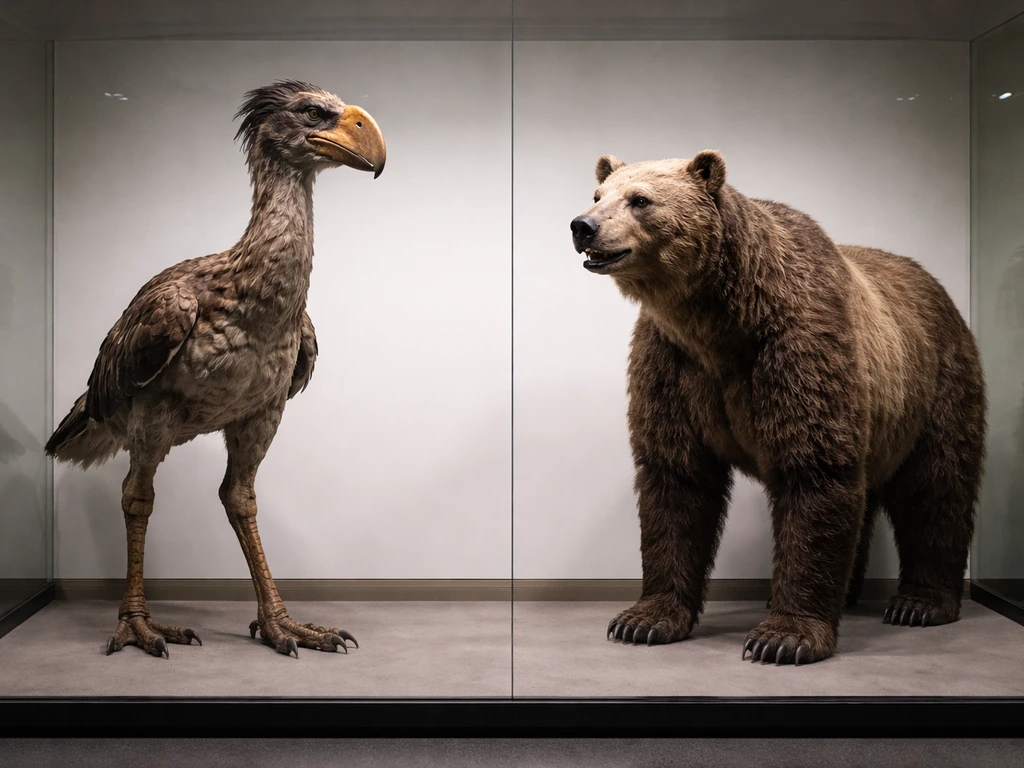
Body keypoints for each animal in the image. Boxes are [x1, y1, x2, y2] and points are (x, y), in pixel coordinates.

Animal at [569, 150, 986, 665]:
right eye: (597, 194)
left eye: (640, 199)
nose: (582, 226)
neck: (720, 324)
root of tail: (938, 287)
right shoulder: (671, 362)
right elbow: (676, 478)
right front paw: (642, 620)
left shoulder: (797, 349)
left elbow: (814, 471)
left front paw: (783, 637)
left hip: (936, 384)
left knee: (936, 485)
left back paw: (920, 603)